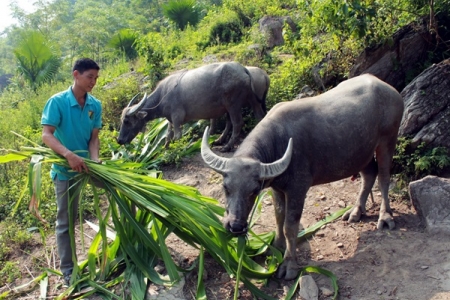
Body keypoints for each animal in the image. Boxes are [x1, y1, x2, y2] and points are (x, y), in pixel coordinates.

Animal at [117, 61, 264, 151]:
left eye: (127, 121)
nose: (119, 140)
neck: (162, 94)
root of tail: (242, 69)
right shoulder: (170, 120)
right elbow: (168, 135)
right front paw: (164, 148)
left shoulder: (177, 117)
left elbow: (177, 136)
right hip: (250, 101)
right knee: (257, 116)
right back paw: (220, 140)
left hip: (233, 105)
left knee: (237, 123)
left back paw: (226, 146)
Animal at [200, 74, 404, 280]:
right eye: (225, 187)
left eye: (254, 191)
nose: (235, 226)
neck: (279, 142)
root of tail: (389, 90)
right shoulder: (277, 188)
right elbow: (278, 218)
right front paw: (276, 247)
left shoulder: (298, 189)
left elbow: (290, 226)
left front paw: (288, 264)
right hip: (360, 153)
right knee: (369, 174)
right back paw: (356, 211)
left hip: (387, 140)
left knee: (384, 178)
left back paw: (385, 216)